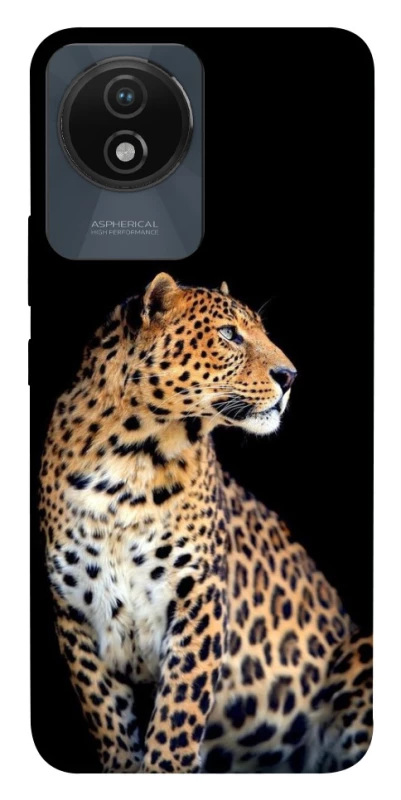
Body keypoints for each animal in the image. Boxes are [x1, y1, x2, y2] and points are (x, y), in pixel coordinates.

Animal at [39, 272, 373, 773]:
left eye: (260, 331)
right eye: (229, 334)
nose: (290, 376)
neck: (129, 460)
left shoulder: (200, 596)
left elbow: (176, 719)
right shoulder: (75, 613)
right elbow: (110, 723)